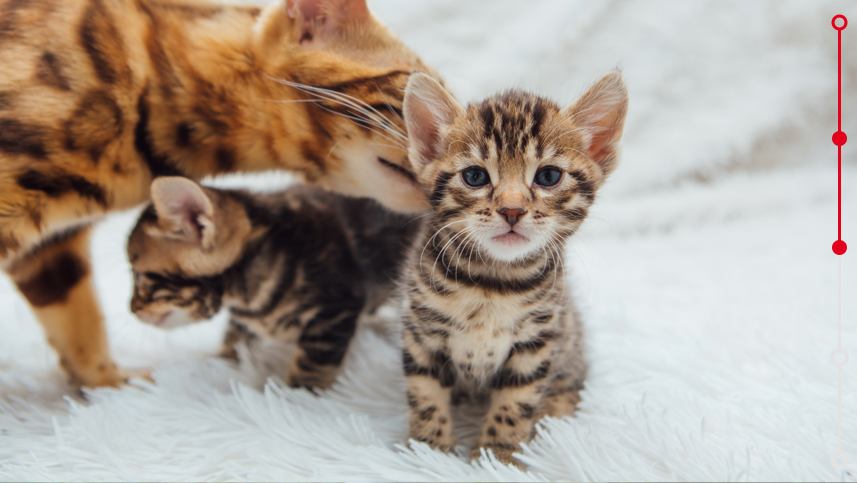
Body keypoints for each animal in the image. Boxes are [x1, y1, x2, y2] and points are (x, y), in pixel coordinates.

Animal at [127, 177, 418, 390]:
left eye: (140, 276)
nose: (132, 309)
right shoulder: (243, 321)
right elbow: (231, 342)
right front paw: (217, 361)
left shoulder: (336, 312)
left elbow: (312, 366)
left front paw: (295, 398)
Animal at [396, 71, 628, 466]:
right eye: (475, 177)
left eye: (548, 176)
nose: (512, 210)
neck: (492, 282)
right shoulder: (421, 332)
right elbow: (425, 394)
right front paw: (429, 452)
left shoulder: (538, 341)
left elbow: (515, 402)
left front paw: (497, 455)